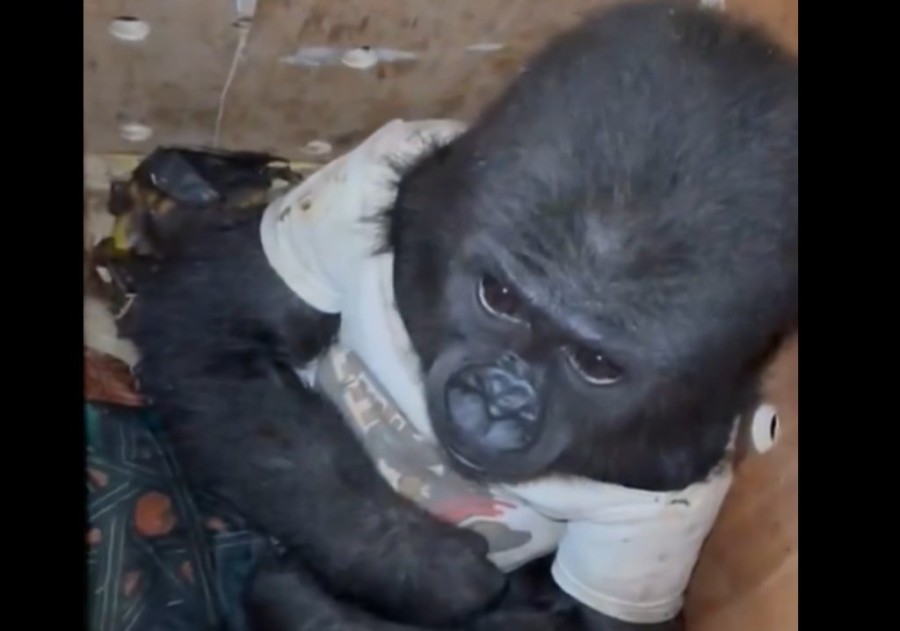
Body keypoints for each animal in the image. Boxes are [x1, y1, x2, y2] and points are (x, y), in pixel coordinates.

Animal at [120, 2, 797, 630]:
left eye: (596, 363)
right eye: (498, 297)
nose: (498, 400)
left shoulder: (674, 505)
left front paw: (321, 589)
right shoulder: (366, 179)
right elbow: (213, 325)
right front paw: (409, 558)